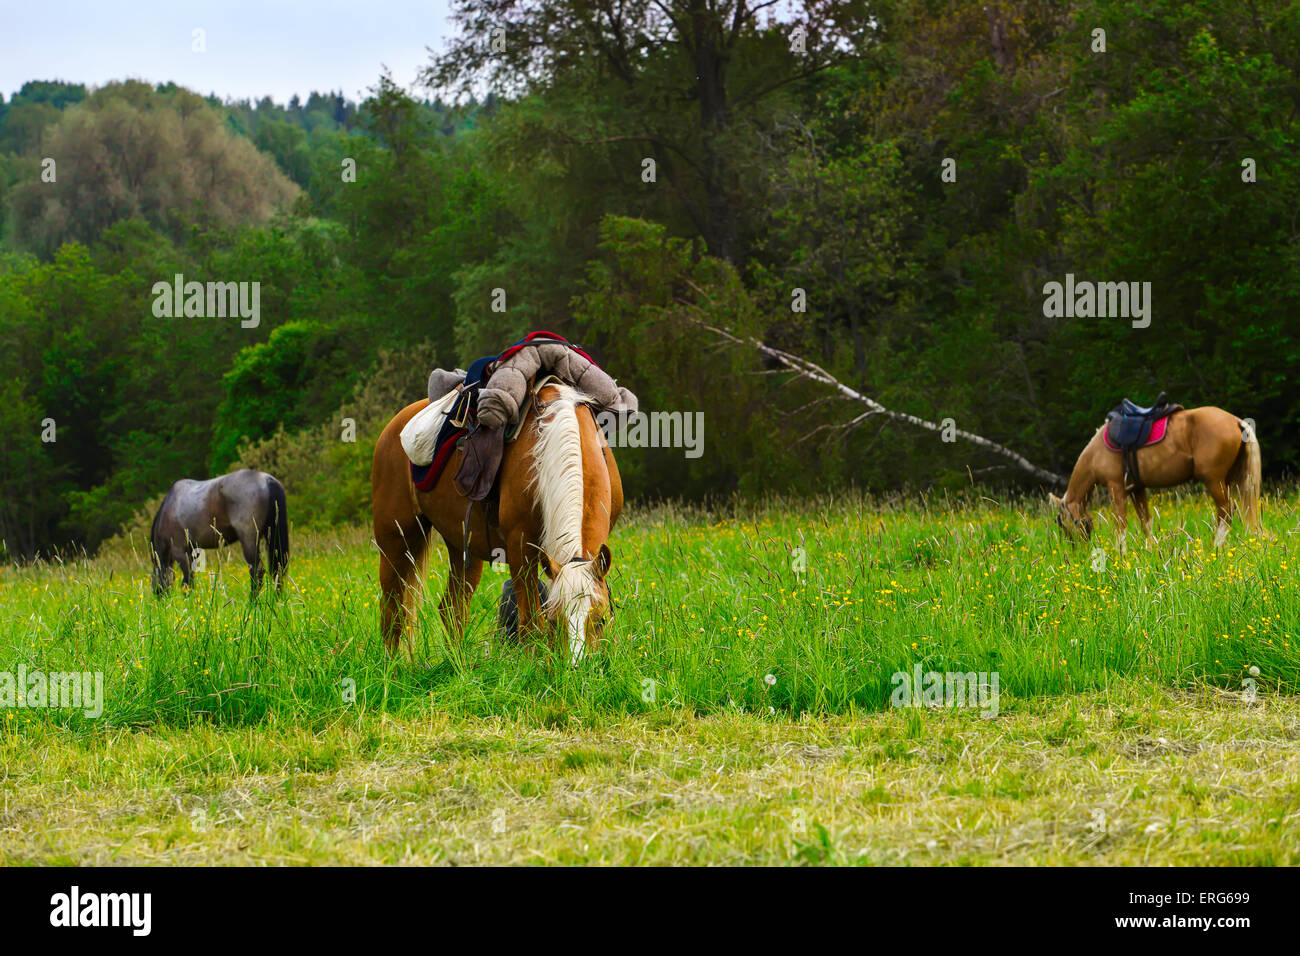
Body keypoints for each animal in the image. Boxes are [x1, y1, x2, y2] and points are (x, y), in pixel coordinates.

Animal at [149, 470, 289, 598]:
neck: (167, 511)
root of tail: (267, 480)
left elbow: (187, 581)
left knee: (257, 571)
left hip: (249, 540)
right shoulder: (193, 552)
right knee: (278, 570)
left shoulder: (180, 551)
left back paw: (252, 602)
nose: (159, 598)